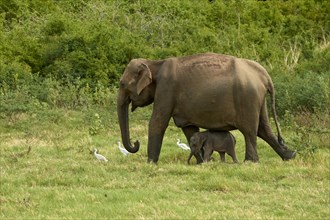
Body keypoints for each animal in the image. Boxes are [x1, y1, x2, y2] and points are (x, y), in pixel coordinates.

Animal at [118, 52, 296, 163]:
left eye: (121, 84)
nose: (136, 142)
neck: (155, 63)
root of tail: (264, 75)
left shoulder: (166, 89)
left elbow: (157, 123)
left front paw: (151, 163)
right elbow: (189, 128)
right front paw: (201, 162)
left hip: (247, 98)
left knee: (249, 130)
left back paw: (250, 162)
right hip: (258, 99)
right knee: (263, 129)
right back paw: (290, 155)